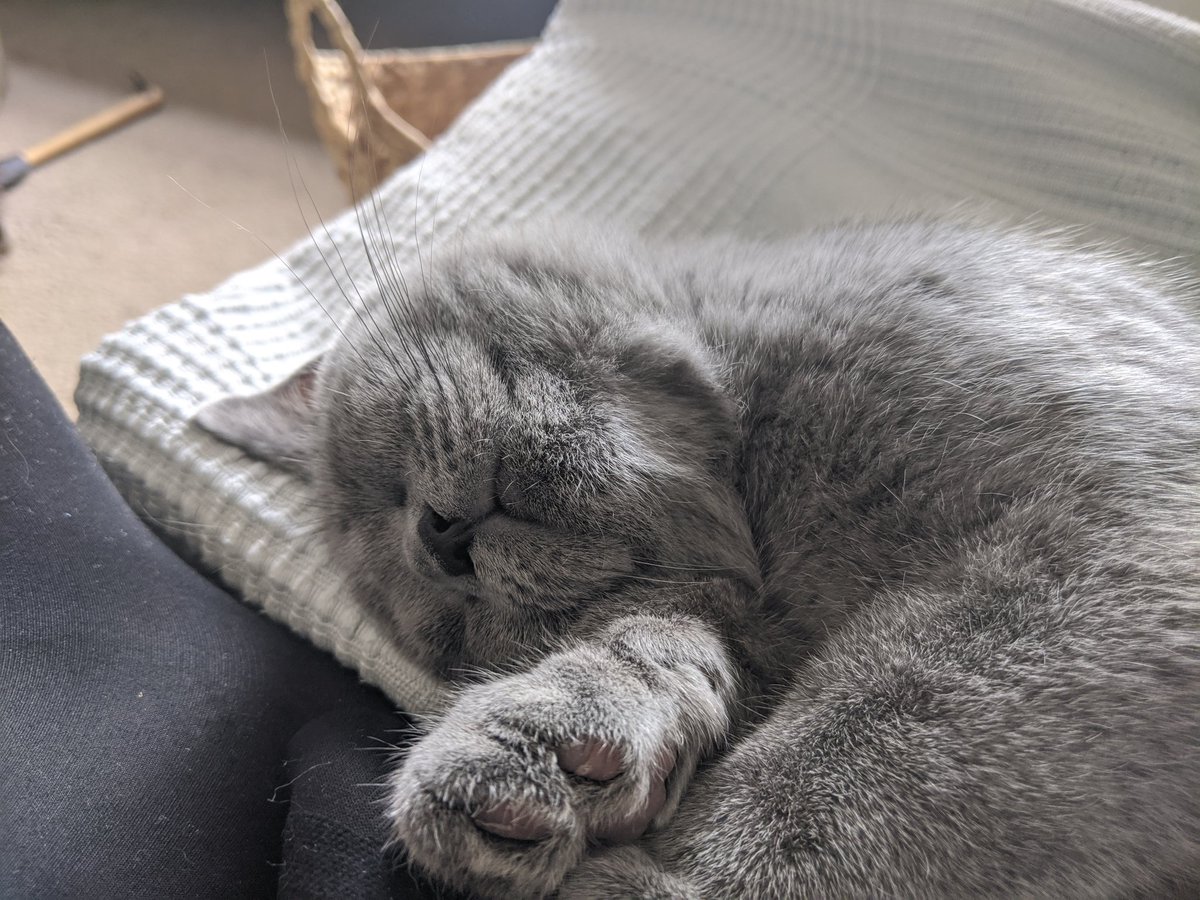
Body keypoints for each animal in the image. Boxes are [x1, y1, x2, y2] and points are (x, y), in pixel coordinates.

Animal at [196, 220, 1200, 900]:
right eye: (453, 623)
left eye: (385, 477)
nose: (437, 540)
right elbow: (664, 641)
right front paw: (551, 748)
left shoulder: (1101, 543)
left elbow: (860, 750)